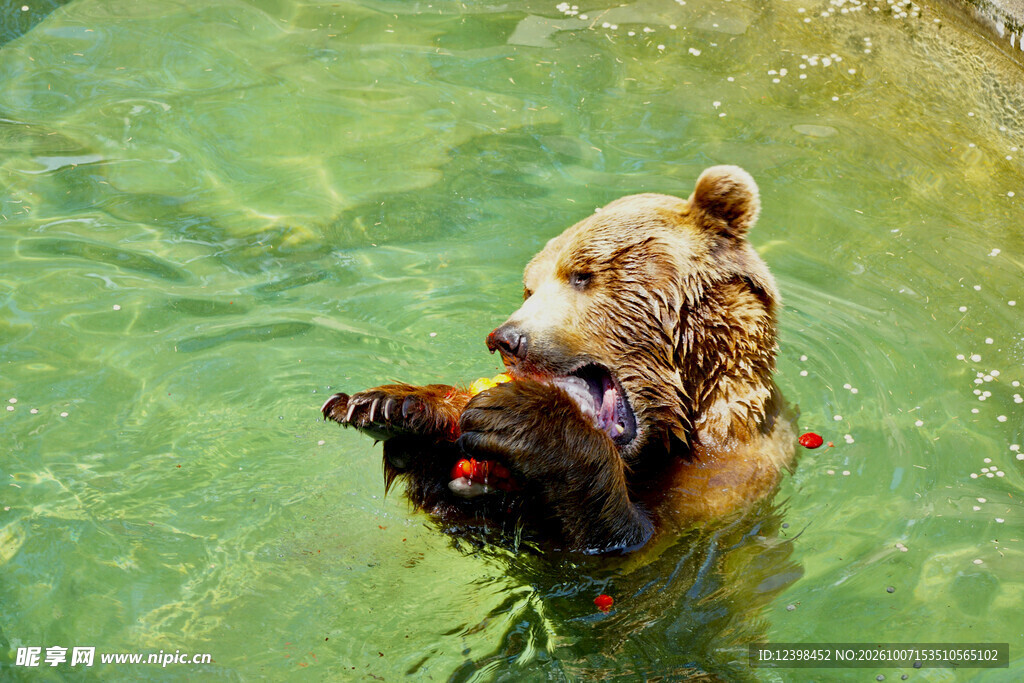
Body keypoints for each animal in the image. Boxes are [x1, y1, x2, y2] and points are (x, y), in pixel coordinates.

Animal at [322, 165, 796, 554]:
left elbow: (630, 539)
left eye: (582, 274)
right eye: (530, 288)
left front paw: (527, 420)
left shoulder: (725, 485)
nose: (507, 339)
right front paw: (393, 407)